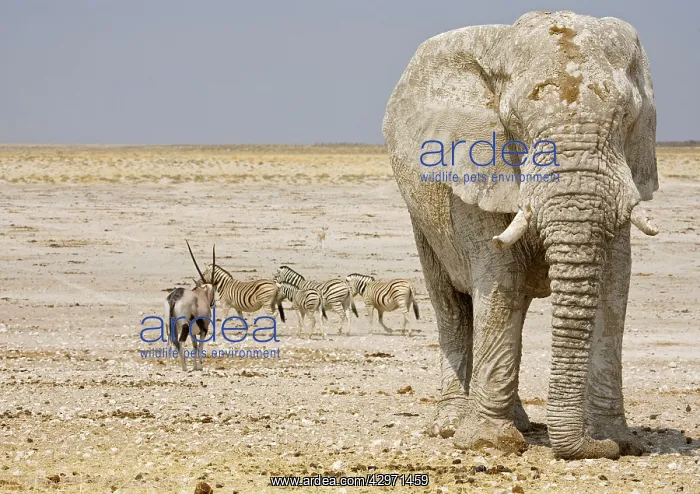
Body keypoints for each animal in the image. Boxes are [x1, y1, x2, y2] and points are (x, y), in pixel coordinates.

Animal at [382, 11, 659, 460]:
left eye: (627, 117)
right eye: (515, 123)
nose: (596, 447)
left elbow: (613, 285)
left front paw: (618, 440)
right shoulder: (476, 172)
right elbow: (501, 283)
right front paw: (488, 442)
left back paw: (519, 423)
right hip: (421, 218)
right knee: (452, 306)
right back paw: (450, 426)